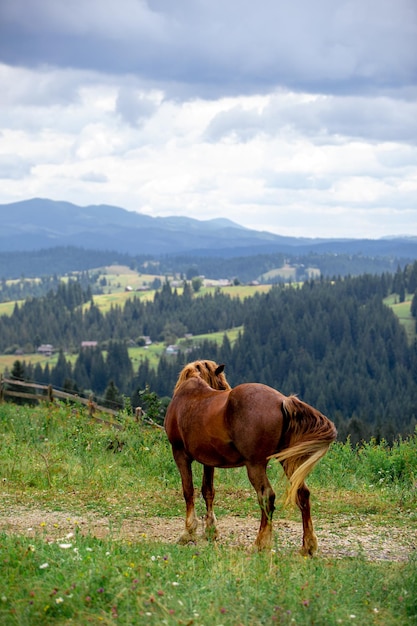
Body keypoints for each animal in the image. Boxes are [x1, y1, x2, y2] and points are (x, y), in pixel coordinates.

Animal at [164, 358, 336, 552]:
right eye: (221, 386)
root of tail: (283, 400)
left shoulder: (180, 454)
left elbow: (188, 491)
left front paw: (188, 533)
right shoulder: (208, 461)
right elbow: (207, 491)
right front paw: (210, 531)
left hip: (255, 465)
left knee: (267, 497)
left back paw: (260, 543)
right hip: (288, 461)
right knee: (302, 493)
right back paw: (308, 546)